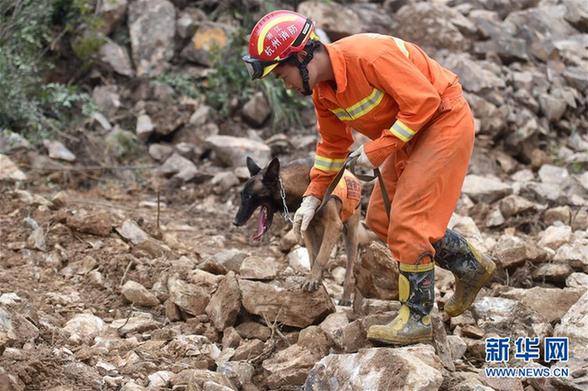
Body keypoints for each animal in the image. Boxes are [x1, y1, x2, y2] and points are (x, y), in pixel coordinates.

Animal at [234, 157, 362, 306]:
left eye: (248, 196)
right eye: (242, 195)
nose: (235, 222)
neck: (303, 187)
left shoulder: (334, 226)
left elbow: (321, 257)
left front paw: (312, 279)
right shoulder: (307, 229)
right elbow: (313, 257)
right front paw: (315, 280)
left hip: (350, 235)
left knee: (350, 269)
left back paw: (346, 297)